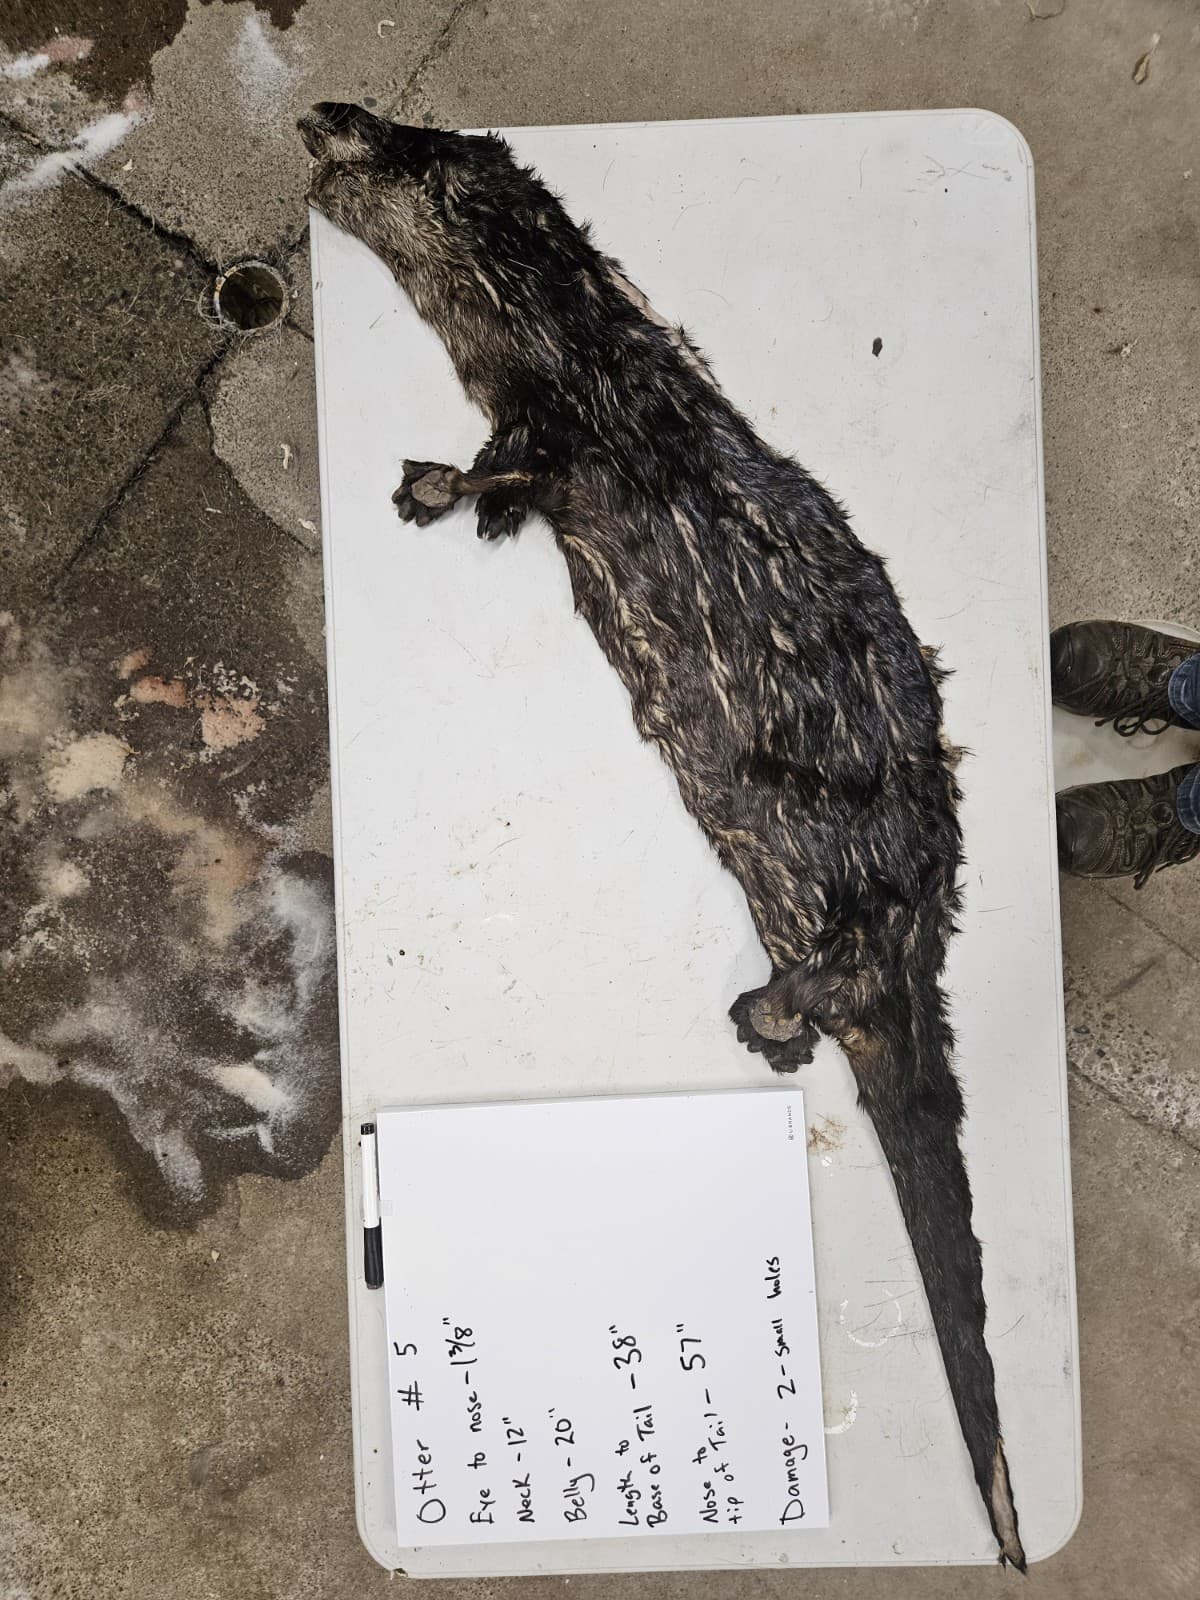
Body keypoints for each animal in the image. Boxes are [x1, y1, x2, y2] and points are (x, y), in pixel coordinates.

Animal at [300, 102, 1025, 1569]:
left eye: (394, 141)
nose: (323, 117)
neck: (585, 343)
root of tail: (910, 935)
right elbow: (514, 489)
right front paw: (472, 501)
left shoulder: (564, 422)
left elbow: (507, 464)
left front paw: (430, 486)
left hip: (834, 917)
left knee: (822, 982)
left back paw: (759, 1017)